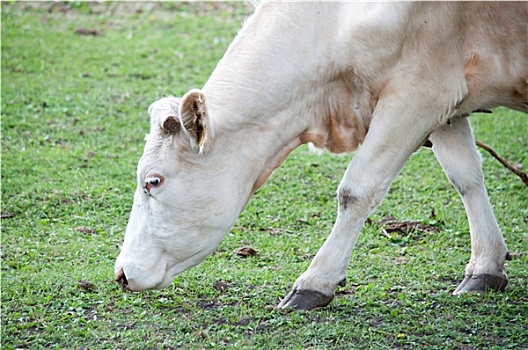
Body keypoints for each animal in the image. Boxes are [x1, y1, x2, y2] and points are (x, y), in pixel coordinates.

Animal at [115, 2, 528, 308]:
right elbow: (466, 177)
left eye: (153, 181)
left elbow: (356, 190)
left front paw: (314, 284)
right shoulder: (448, 103)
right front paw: (485, 268)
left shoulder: (418, 93)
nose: (121, 273)